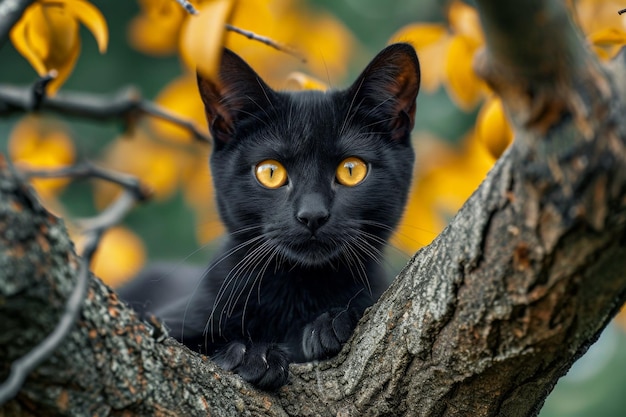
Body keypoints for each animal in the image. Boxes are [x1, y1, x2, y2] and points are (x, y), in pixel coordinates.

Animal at [117, 44, 420, 390]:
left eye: (351, 170)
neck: (298, 289)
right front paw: (255, 354)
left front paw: (334, 321)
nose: (312, 214)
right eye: (270, 172)